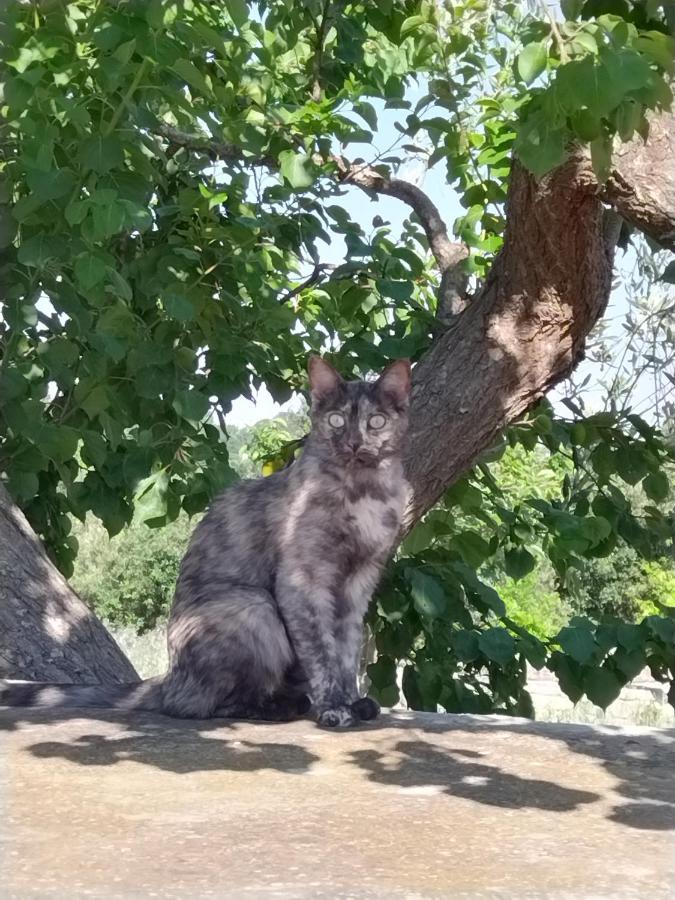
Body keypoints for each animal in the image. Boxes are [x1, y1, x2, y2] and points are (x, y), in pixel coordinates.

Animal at [2, 356, 412, 728]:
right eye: (337, 420)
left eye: (376, 421)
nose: (355, 443)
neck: (364, 492)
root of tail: (169, 678)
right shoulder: (304, 581)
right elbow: (322, 652)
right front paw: (334, 708)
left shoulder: (358, 584)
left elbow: (345, 651)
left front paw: (353, 701)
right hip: (254, 608)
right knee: (196, 705)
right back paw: (279, 707)